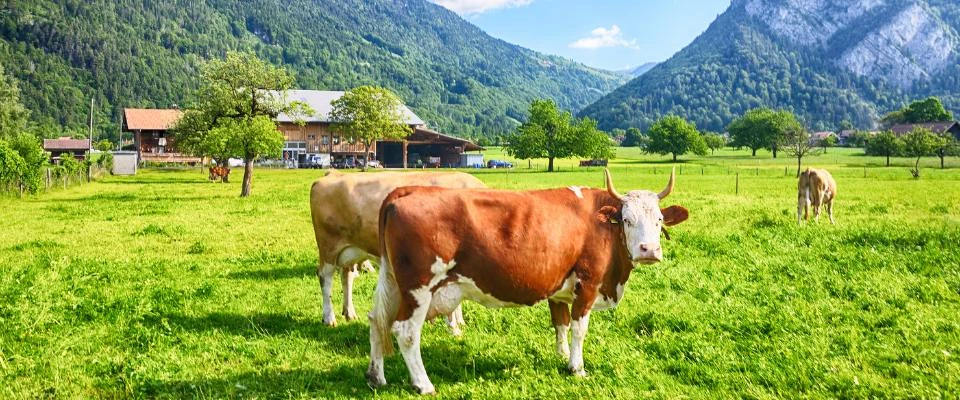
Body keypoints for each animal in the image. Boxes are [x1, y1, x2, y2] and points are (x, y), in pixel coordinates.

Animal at [310, 169, 488, 328]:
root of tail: (334, 173)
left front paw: (459, 321)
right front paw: (453, 324)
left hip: (351, 249)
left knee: (346, 276)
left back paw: (349, 313)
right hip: (328, 247)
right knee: (325, 278)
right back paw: (329, 317)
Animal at [364, 168, 688, 394]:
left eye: (659, 220)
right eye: (627, 220)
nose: (649, 250)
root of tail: (406, 190)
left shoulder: (560, 288)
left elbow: (561, 324)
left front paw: (561, 356)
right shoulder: (588, 284)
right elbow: (579, 329)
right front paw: (576, 367)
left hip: (393, 281)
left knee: (377, 320)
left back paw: (376, 376)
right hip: (418, 287)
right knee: (405, 332)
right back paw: (423, 384)